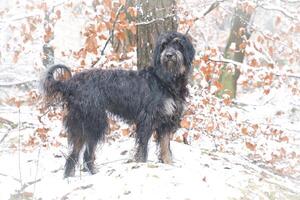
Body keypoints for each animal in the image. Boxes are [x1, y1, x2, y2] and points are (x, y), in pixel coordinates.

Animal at [42, 32, 195, 177]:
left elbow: (165, 148)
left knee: (76, 154)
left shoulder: (166, 121)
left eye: (178, 44)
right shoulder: (147, 120)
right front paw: (142, 165)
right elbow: (143, 148)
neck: (165, 79)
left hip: (86, 123)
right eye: (164, 45)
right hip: (93, 122)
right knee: (83, 153)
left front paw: (169, 165)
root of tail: (70, 83)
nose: (169, 55)